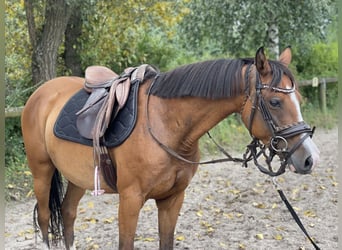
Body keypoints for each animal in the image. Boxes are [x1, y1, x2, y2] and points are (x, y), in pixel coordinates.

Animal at [21, 47, 320, 250]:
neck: (167, 124)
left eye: (298, 97)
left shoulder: (172, 198)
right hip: (42, 172)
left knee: (68, 214)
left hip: (78, 178)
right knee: (46, 219)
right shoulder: (130, 200)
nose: (310, 158)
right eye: (274, 102)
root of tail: (41, 93)